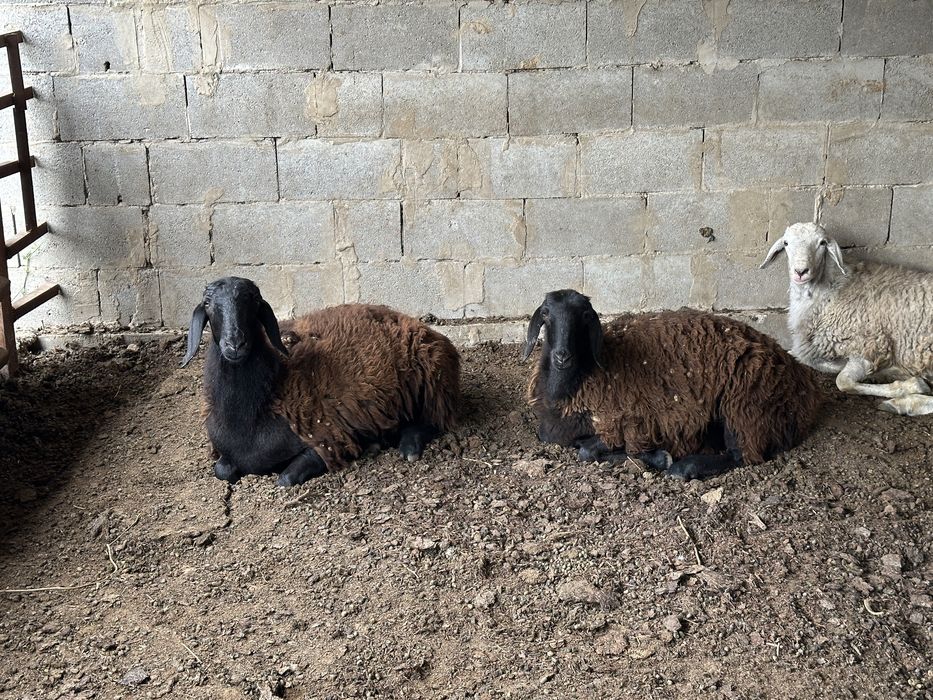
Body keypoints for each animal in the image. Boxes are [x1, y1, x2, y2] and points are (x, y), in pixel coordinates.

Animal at [181, 276, 460, 487]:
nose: (235, 344)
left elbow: (285, 479)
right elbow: (222, 471)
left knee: (436, 420)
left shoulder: (326, 440)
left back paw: (407, 446)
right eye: (208, 304)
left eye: (254, 302)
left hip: (434, 381)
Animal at [523, 290, 821, 480]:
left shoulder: (629, 423)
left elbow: (589, 451)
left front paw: (658, 457)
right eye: (546, 314)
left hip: (742, 406)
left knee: (743, 455)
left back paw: (684, 467)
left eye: (585, 316)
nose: (562, 356)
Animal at [760, 222, 933, 416]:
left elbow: (843, 382)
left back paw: (905, 402)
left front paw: (910, 385)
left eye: (822, 243)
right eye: (786, 243)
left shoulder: (870, 347)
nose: (800, 271)